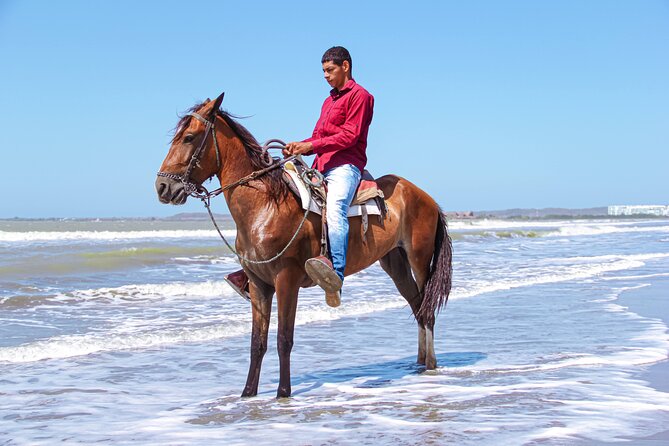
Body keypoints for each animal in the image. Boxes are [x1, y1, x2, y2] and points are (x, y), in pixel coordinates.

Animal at [155, 93, 452, 398]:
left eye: (189, 137)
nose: (163, 187)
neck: (265, 205)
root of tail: (426, 197)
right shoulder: (259, 284)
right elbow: (257, 342)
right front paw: (248, 393)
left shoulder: (287, 280)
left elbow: (283, 339)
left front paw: (283, 393)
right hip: (395, 263)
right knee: (417, 305)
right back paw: (418, 363)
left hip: (419, 259)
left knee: (427, 308)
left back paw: (430, 364)